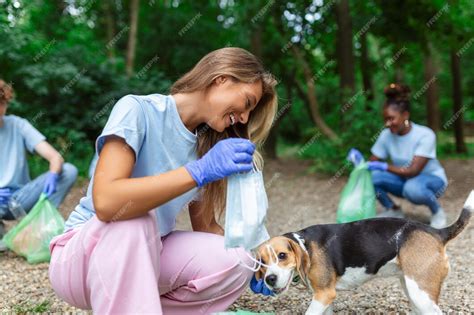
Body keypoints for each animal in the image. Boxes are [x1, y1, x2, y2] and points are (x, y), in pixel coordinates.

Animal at [254, 194, 472, 314]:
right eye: (262, 262)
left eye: (282, 255)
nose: (270, 279)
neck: (305, 245)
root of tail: (436, 232)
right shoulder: (324, 297)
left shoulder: (324, 295)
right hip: (413, 290)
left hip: (421, 294)